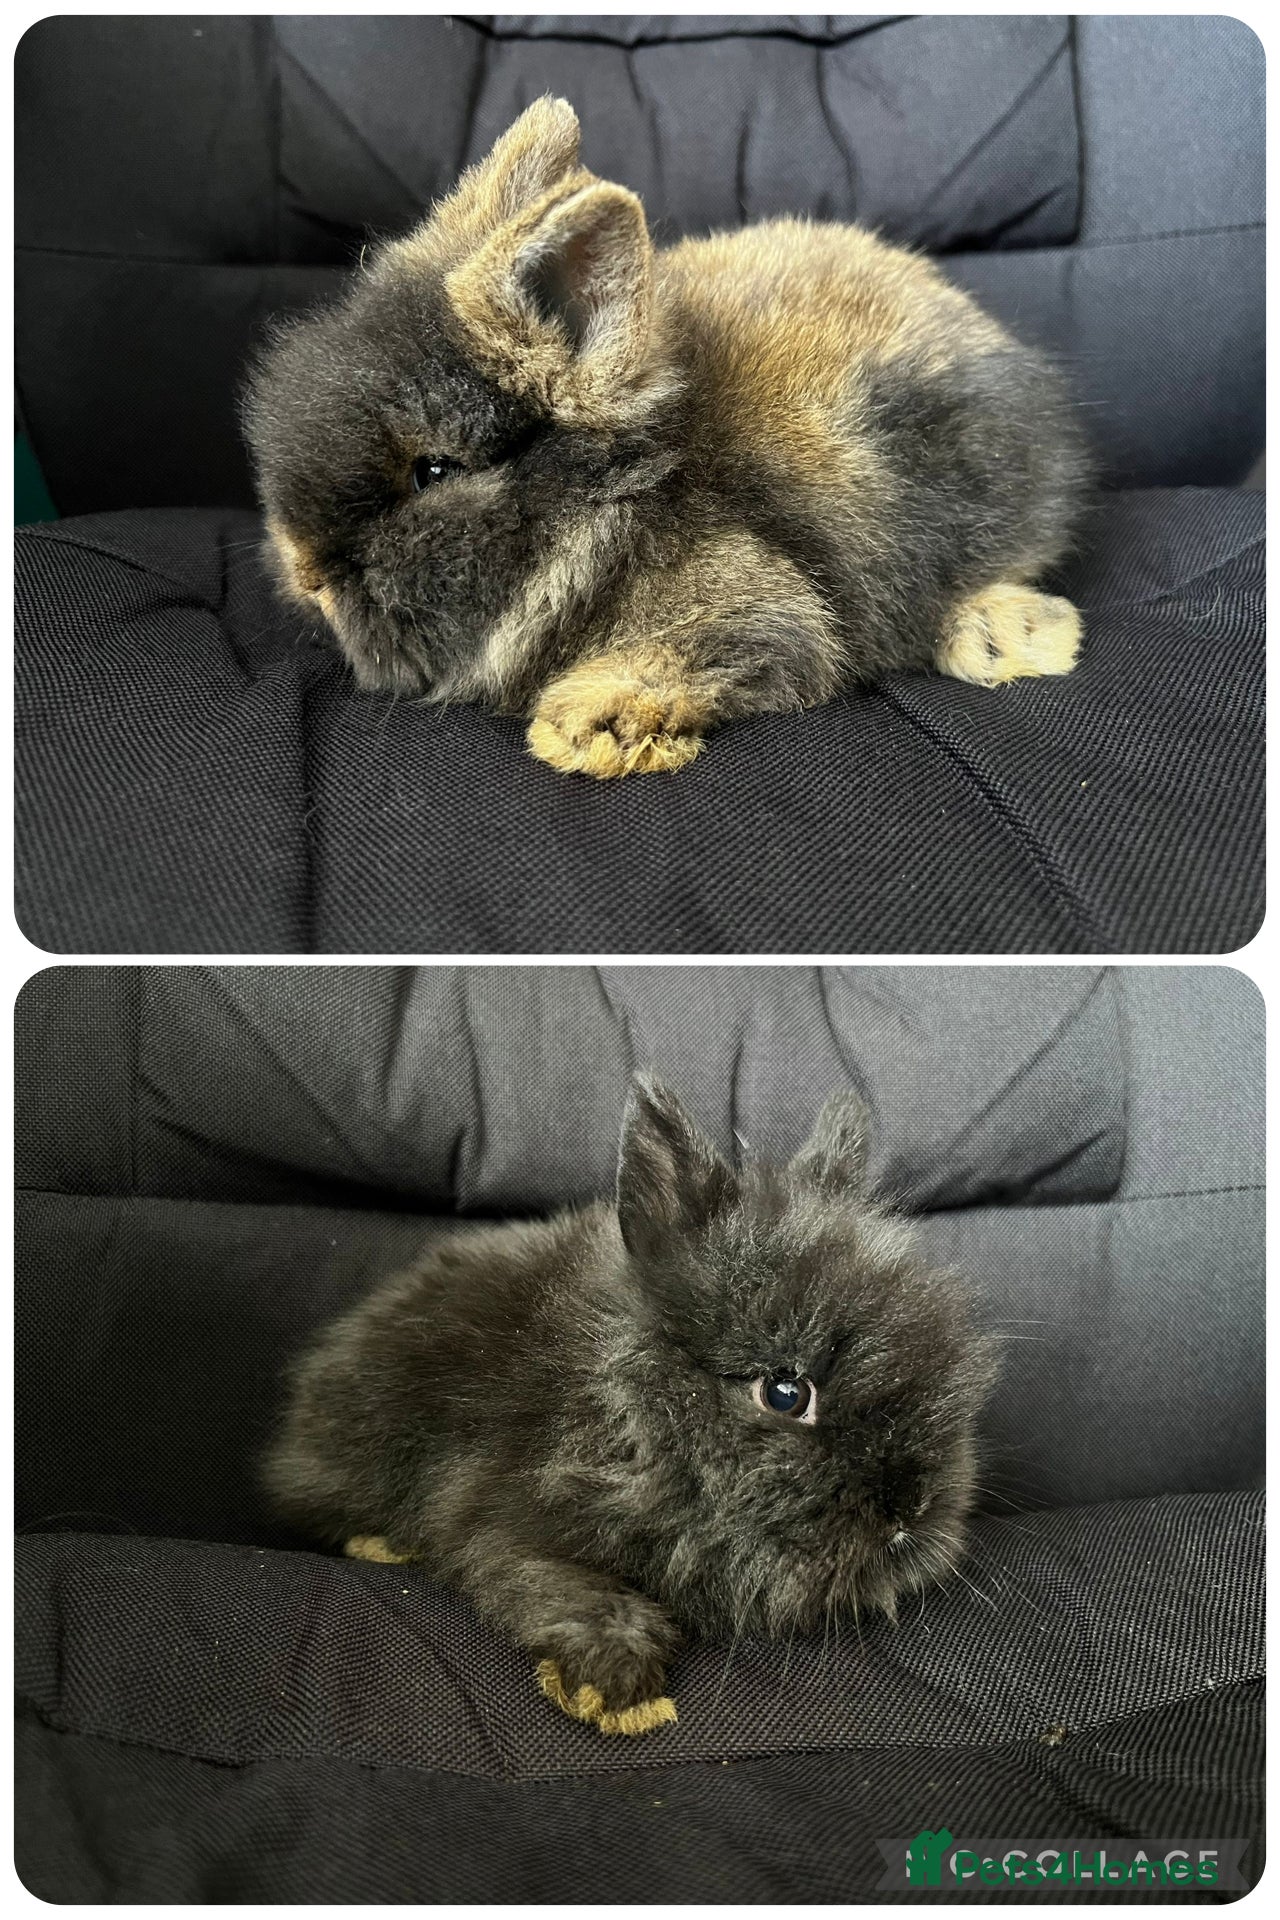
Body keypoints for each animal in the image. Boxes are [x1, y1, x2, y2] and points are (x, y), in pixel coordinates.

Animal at [242, 96, 1090, 779]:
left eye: (436, 471)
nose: (306, 576)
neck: (627, 498)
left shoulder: (759, 612)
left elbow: (705, 655)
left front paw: (585, 731)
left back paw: (1014, 640)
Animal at [263, 1078, 998, 1736]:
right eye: (785, 1393)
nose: (911, 1510)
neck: (628, 1418)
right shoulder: (493, 1510)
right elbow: (548, 1580)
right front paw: (617, 1689)